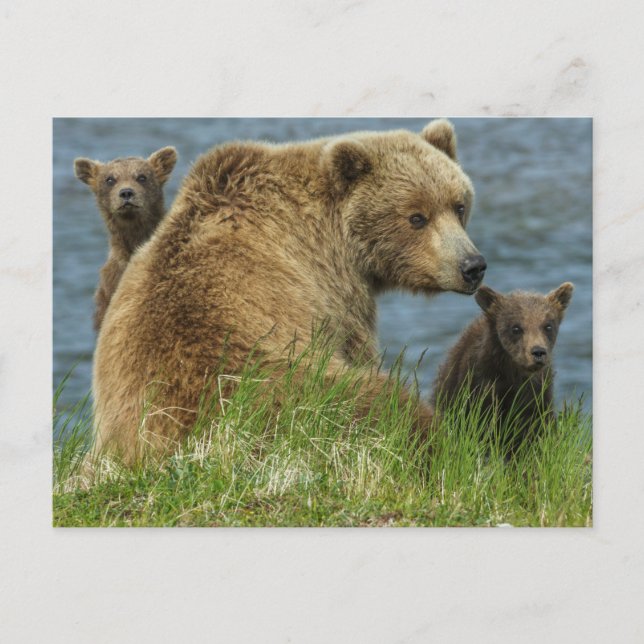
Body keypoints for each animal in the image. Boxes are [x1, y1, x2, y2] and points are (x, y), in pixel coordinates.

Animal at [92, 120, 487, 463]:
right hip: (284, 393)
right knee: (380, 406)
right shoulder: (334, 291)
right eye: (416, 217)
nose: (472, 266)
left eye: (458, 205)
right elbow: (358, 348)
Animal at [431, 282, 574, 452]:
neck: (513, 374)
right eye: (516, 328)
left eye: (548, 326)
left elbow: (534, 431)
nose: (538, 352)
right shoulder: (481, 388)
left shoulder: (536, 394)